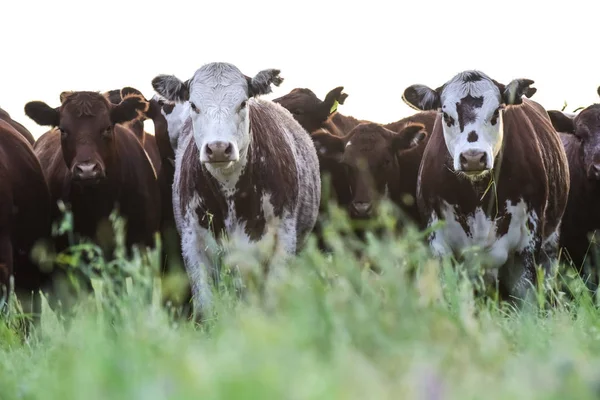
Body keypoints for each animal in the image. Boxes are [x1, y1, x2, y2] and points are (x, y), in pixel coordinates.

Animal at [154, 62, 324, 318]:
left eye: (243, 103)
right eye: (193, 104)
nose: (218, 148)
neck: (231, 194)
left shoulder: (283, 242)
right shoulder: (193, 245)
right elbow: (206, 306)